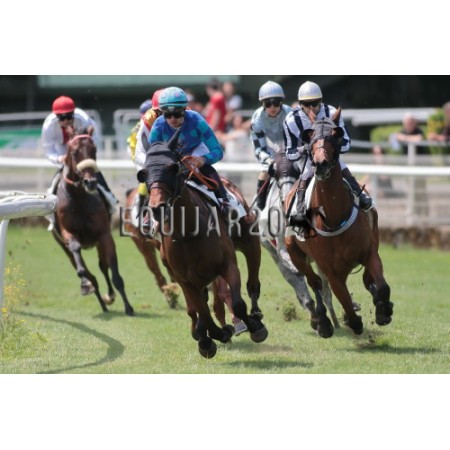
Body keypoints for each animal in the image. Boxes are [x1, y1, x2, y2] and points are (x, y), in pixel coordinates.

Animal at [52, 126, 134, 316]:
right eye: (74, 152)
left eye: (94, 150)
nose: (90, 182)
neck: (79, 198)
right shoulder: (68, 234)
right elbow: (78, 257)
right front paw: (85, 284)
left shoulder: (104, 235)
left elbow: (114, 274)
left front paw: (128, 307)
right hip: (62, 245)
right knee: (85, 269)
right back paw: (98, 297)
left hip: (97, 242)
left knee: (103, 266)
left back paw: (108, 298)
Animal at [137, 130, 267, 358]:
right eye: (143, 173)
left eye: (173, 167)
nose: (157, 207)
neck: (189, 233)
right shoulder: (184, 279)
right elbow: (201, 311)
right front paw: (211, 338)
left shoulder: (228, 264)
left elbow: (238, 304)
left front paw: (252, 327)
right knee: (202, 305)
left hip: (250, 243)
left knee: (252, 284)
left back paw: (256, 316)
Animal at [284, 108, 393, 338]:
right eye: (310, 137)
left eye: (336, 135)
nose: (320, 164)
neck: (334, 217)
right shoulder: (330, 270)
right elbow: (343, 299)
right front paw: (353, 321)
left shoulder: (369, 252)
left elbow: (381, 286)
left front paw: (383, 310)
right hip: (295, 253)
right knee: (314, 282)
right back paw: (323, 322)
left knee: (367, 279)